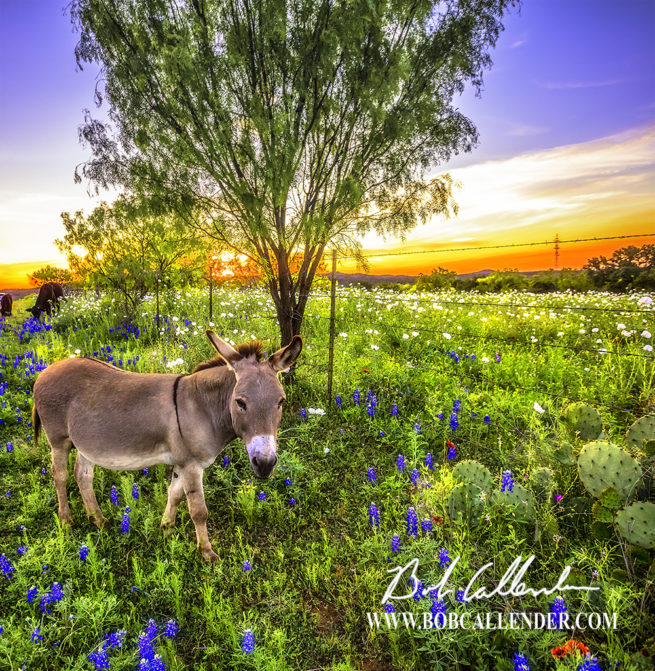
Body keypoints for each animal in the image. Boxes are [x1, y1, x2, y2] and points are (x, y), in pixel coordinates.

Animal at [32, 332, 304, 560]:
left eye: (281, 402)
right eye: (240, 402)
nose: (265, 464)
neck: (204, 407)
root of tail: (45, 370)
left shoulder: (181, 462)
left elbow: (174, 494)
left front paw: (166, 529)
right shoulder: (192, 465)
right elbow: (198, 510)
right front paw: (207, 553)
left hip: (87, 442)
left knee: (82, 475)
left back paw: (99, 521)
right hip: (59, 441)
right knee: (60, 476)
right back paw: (66, 521)